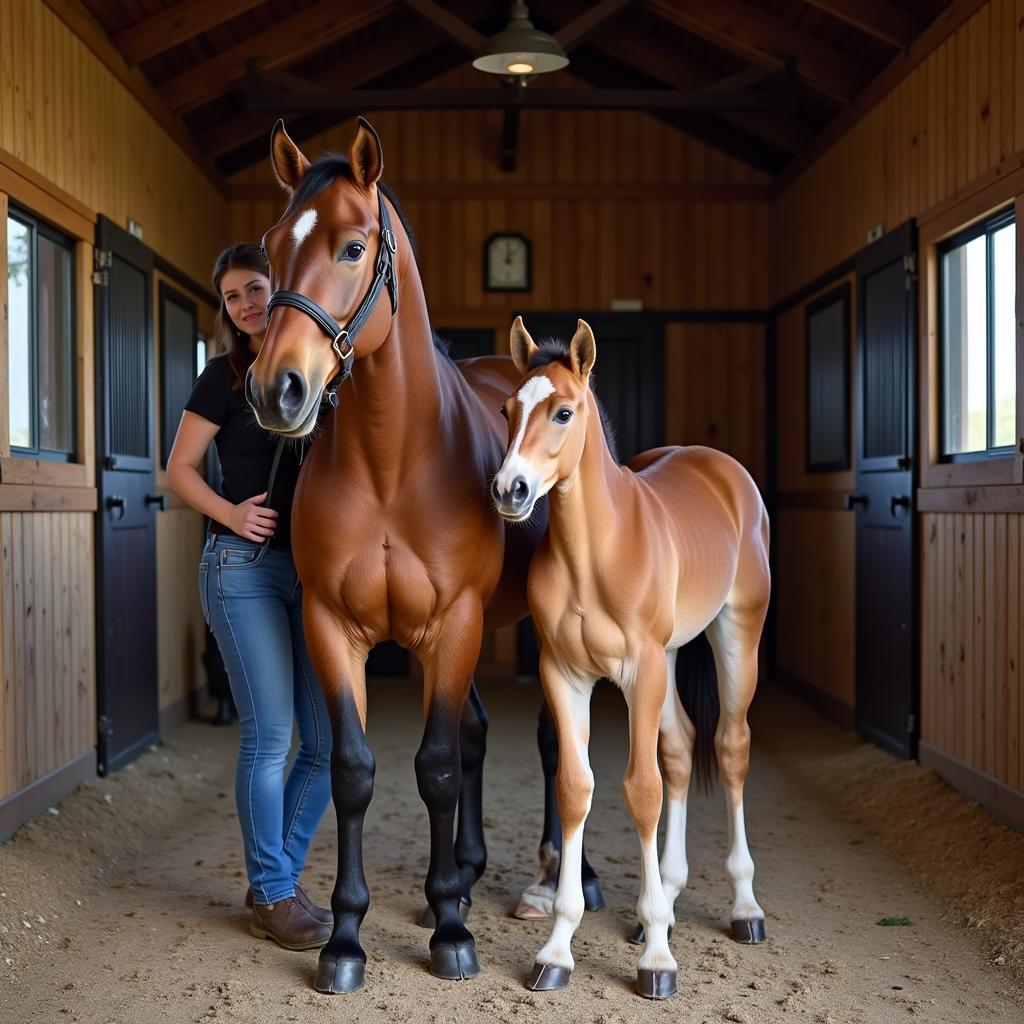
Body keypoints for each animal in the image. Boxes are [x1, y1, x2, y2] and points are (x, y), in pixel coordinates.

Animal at [245, 117, 598, 991]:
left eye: (352, 246)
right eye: (271, 245)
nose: (277, 390)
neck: (391, 462)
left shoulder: (455, 625)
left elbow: (435, 766)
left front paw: (449, 933)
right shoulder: (333, 628)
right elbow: (354, 771)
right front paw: (345, 939)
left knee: (552, 743)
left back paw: (554, 884)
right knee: (476, 733)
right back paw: (467, 872)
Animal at [489, 319, 770, 999]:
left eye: (564, 411)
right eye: (508, 409)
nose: (510, 489)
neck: (595, 553)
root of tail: (720, 467)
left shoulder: (641, 674)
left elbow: (641, 789)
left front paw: (659, 963)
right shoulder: (565, 676)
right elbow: (576, 787)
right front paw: (557, 950)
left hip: (735, 635)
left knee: (729, 747)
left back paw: (744, 908)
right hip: (670, 661)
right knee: (682, 749)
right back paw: (661, 901)